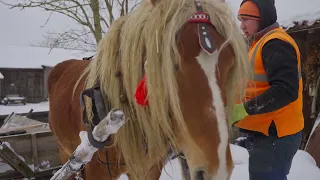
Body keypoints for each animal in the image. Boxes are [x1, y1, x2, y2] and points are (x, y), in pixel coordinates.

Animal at [47, 0, 250, 180]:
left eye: (229, 63)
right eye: (170, 64)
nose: (217, 171)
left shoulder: (148, 169)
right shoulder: (95, 171)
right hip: (65, 151)